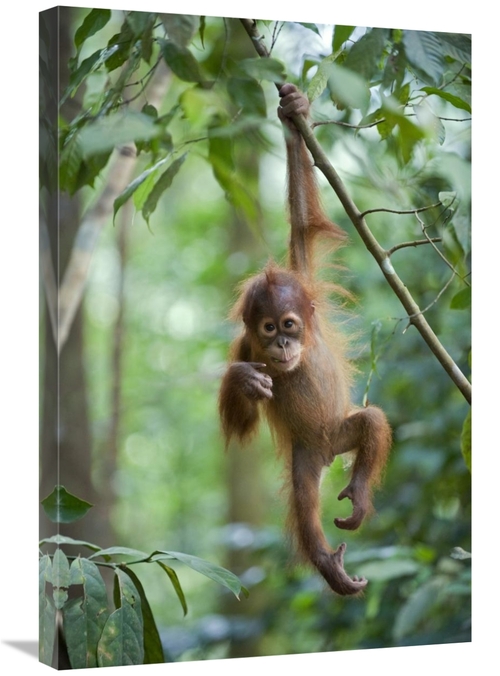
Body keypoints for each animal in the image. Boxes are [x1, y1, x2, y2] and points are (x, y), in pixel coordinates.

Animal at [218, 83, 391, 596]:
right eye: (268, 329)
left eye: (290, 324)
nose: (281, 346)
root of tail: (328, 450)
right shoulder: (245, 347)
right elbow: (241, 425)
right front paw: (243, 381)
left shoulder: (305, 277)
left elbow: (302, 222)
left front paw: (294, 111)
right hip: (305, 456)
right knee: (302, 500)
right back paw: (328, 562)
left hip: (339, 430)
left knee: (372, 421)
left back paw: (357, 497)